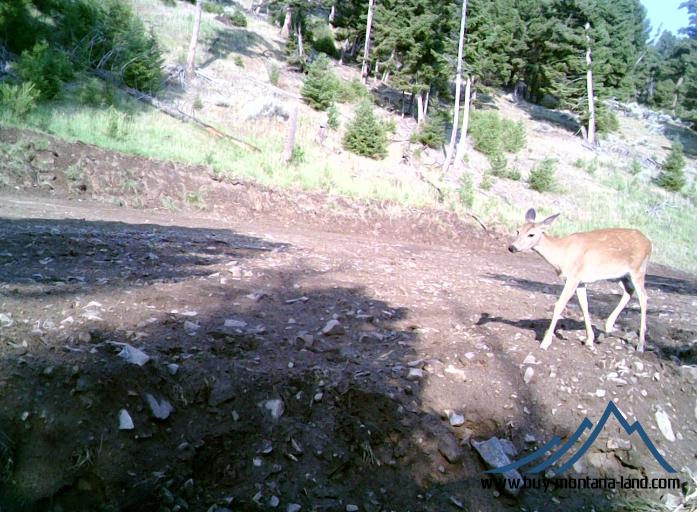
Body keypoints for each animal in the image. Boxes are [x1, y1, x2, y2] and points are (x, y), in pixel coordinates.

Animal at [508, 208, 648, 352]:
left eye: (531, 234)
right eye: (518, 230)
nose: (512, 247)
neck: (561, 254)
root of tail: (648, 242)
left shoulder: (573, 278)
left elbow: (559, 305)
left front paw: (545, 342)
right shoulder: (580, 281)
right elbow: (584, 305)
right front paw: (589, 340)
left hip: (638, 270)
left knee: (643, 298)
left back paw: (640, 345)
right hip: (620, 276)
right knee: (629, 291)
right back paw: (607, 329)